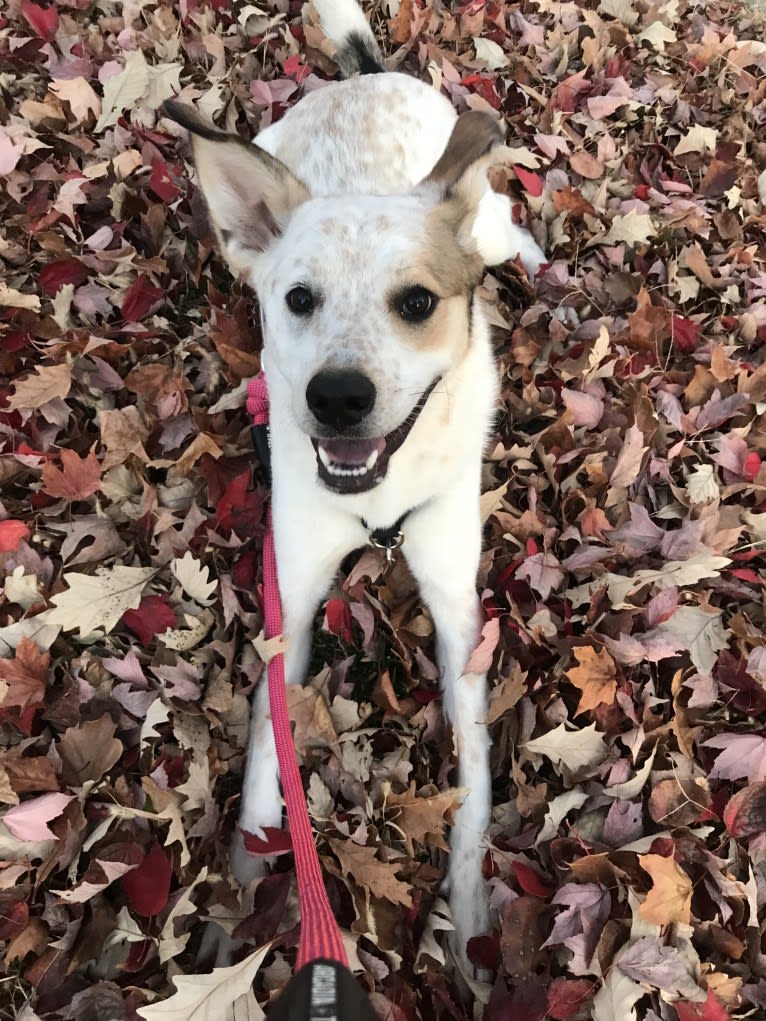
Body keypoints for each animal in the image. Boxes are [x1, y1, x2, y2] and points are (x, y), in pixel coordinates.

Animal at [166, 0, 547, 967]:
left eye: (416, 303)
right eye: (298, 299)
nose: (335, 398)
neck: (376, 503)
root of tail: (360, 78)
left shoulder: (459, 614)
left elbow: (474, 789)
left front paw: (470, 922)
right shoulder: (290, 600)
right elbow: (269, 766)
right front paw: (248, 897)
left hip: (485, 214)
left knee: (505, 226)